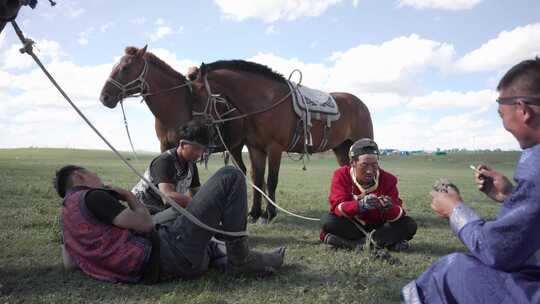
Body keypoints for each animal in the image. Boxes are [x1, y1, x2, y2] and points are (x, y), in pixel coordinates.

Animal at [99, 46, 374, 224]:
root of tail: (359, 102)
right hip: (341, 148)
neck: (266, 100)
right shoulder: (254, 147)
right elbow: (256, 179)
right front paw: (254, 213)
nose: (104, 97)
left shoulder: (273, 148)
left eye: (125, 67)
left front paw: (269, 215)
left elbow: (270, 181)